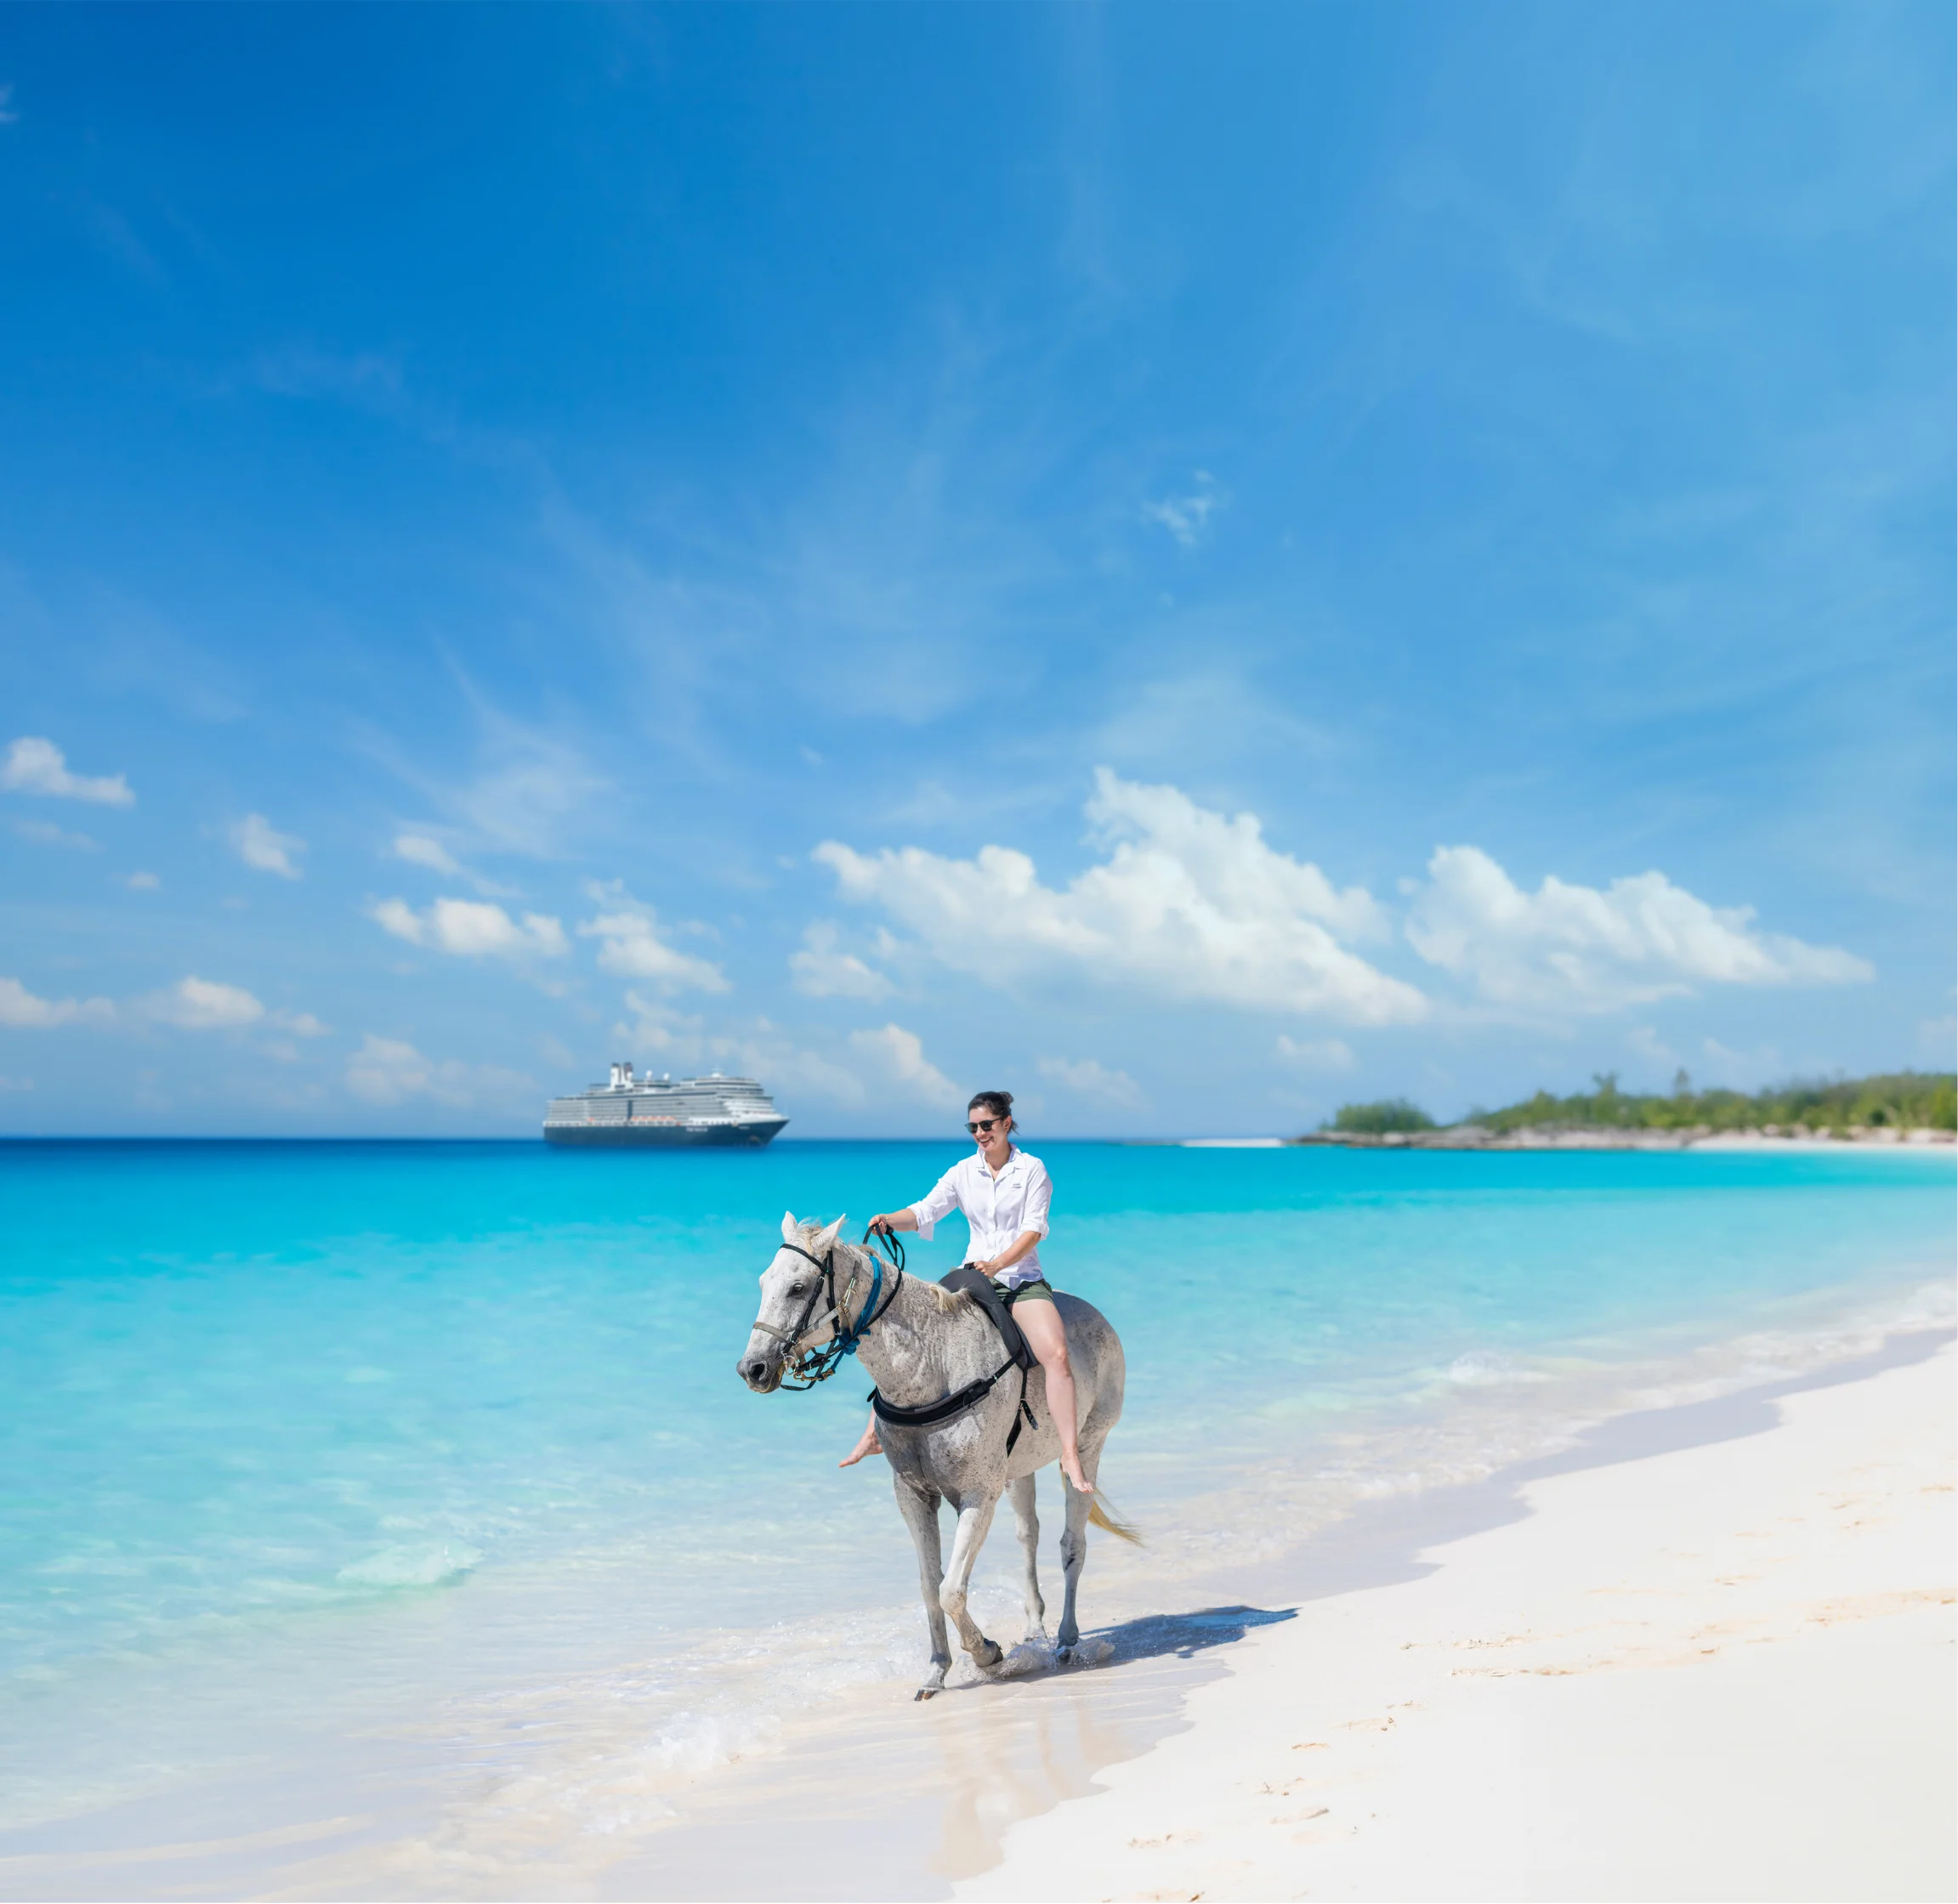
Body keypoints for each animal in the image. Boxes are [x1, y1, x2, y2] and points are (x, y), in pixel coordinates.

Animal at [737, 1212, 1136, 1698]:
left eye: (798, 1287)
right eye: (764, 1282)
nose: (752, 1369)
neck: (932, 1368)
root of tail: (1095, 1314)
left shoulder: (978, 1497)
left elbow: (951, 1590)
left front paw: (987, 1654)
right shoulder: (913, 1496)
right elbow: (931, 1586)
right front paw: (937, 1670)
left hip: (1088, 1445)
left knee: (1072, 1545)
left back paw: (1065, 1640)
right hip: (1019, 1470)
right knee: (1029, 1537)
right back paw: (1034, 1630)